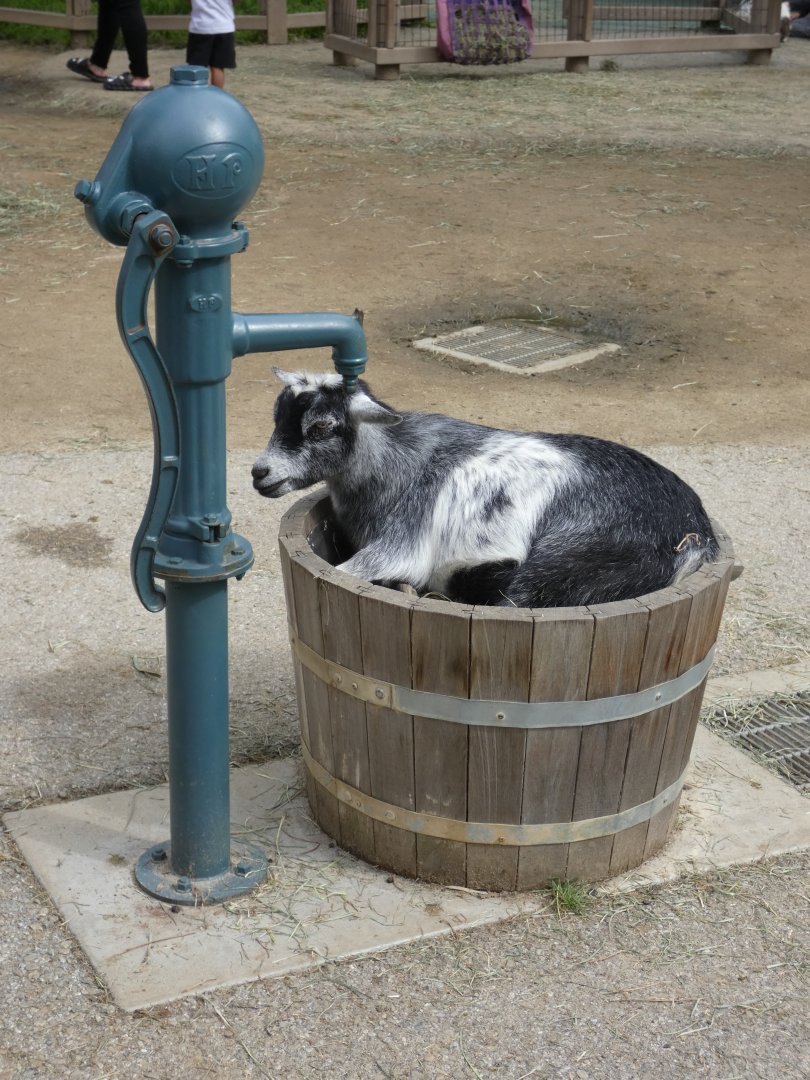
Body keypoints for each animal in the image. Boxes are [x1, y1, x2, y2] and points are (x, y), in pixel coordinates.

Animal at [252, 370, 719, 607]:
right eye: (276, 416)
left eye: (321, 427)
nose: (260, 473)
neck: (396, 463)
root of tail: (694, 536)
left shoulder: (403, 542)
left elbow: (349, 573)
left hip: (562, 568)